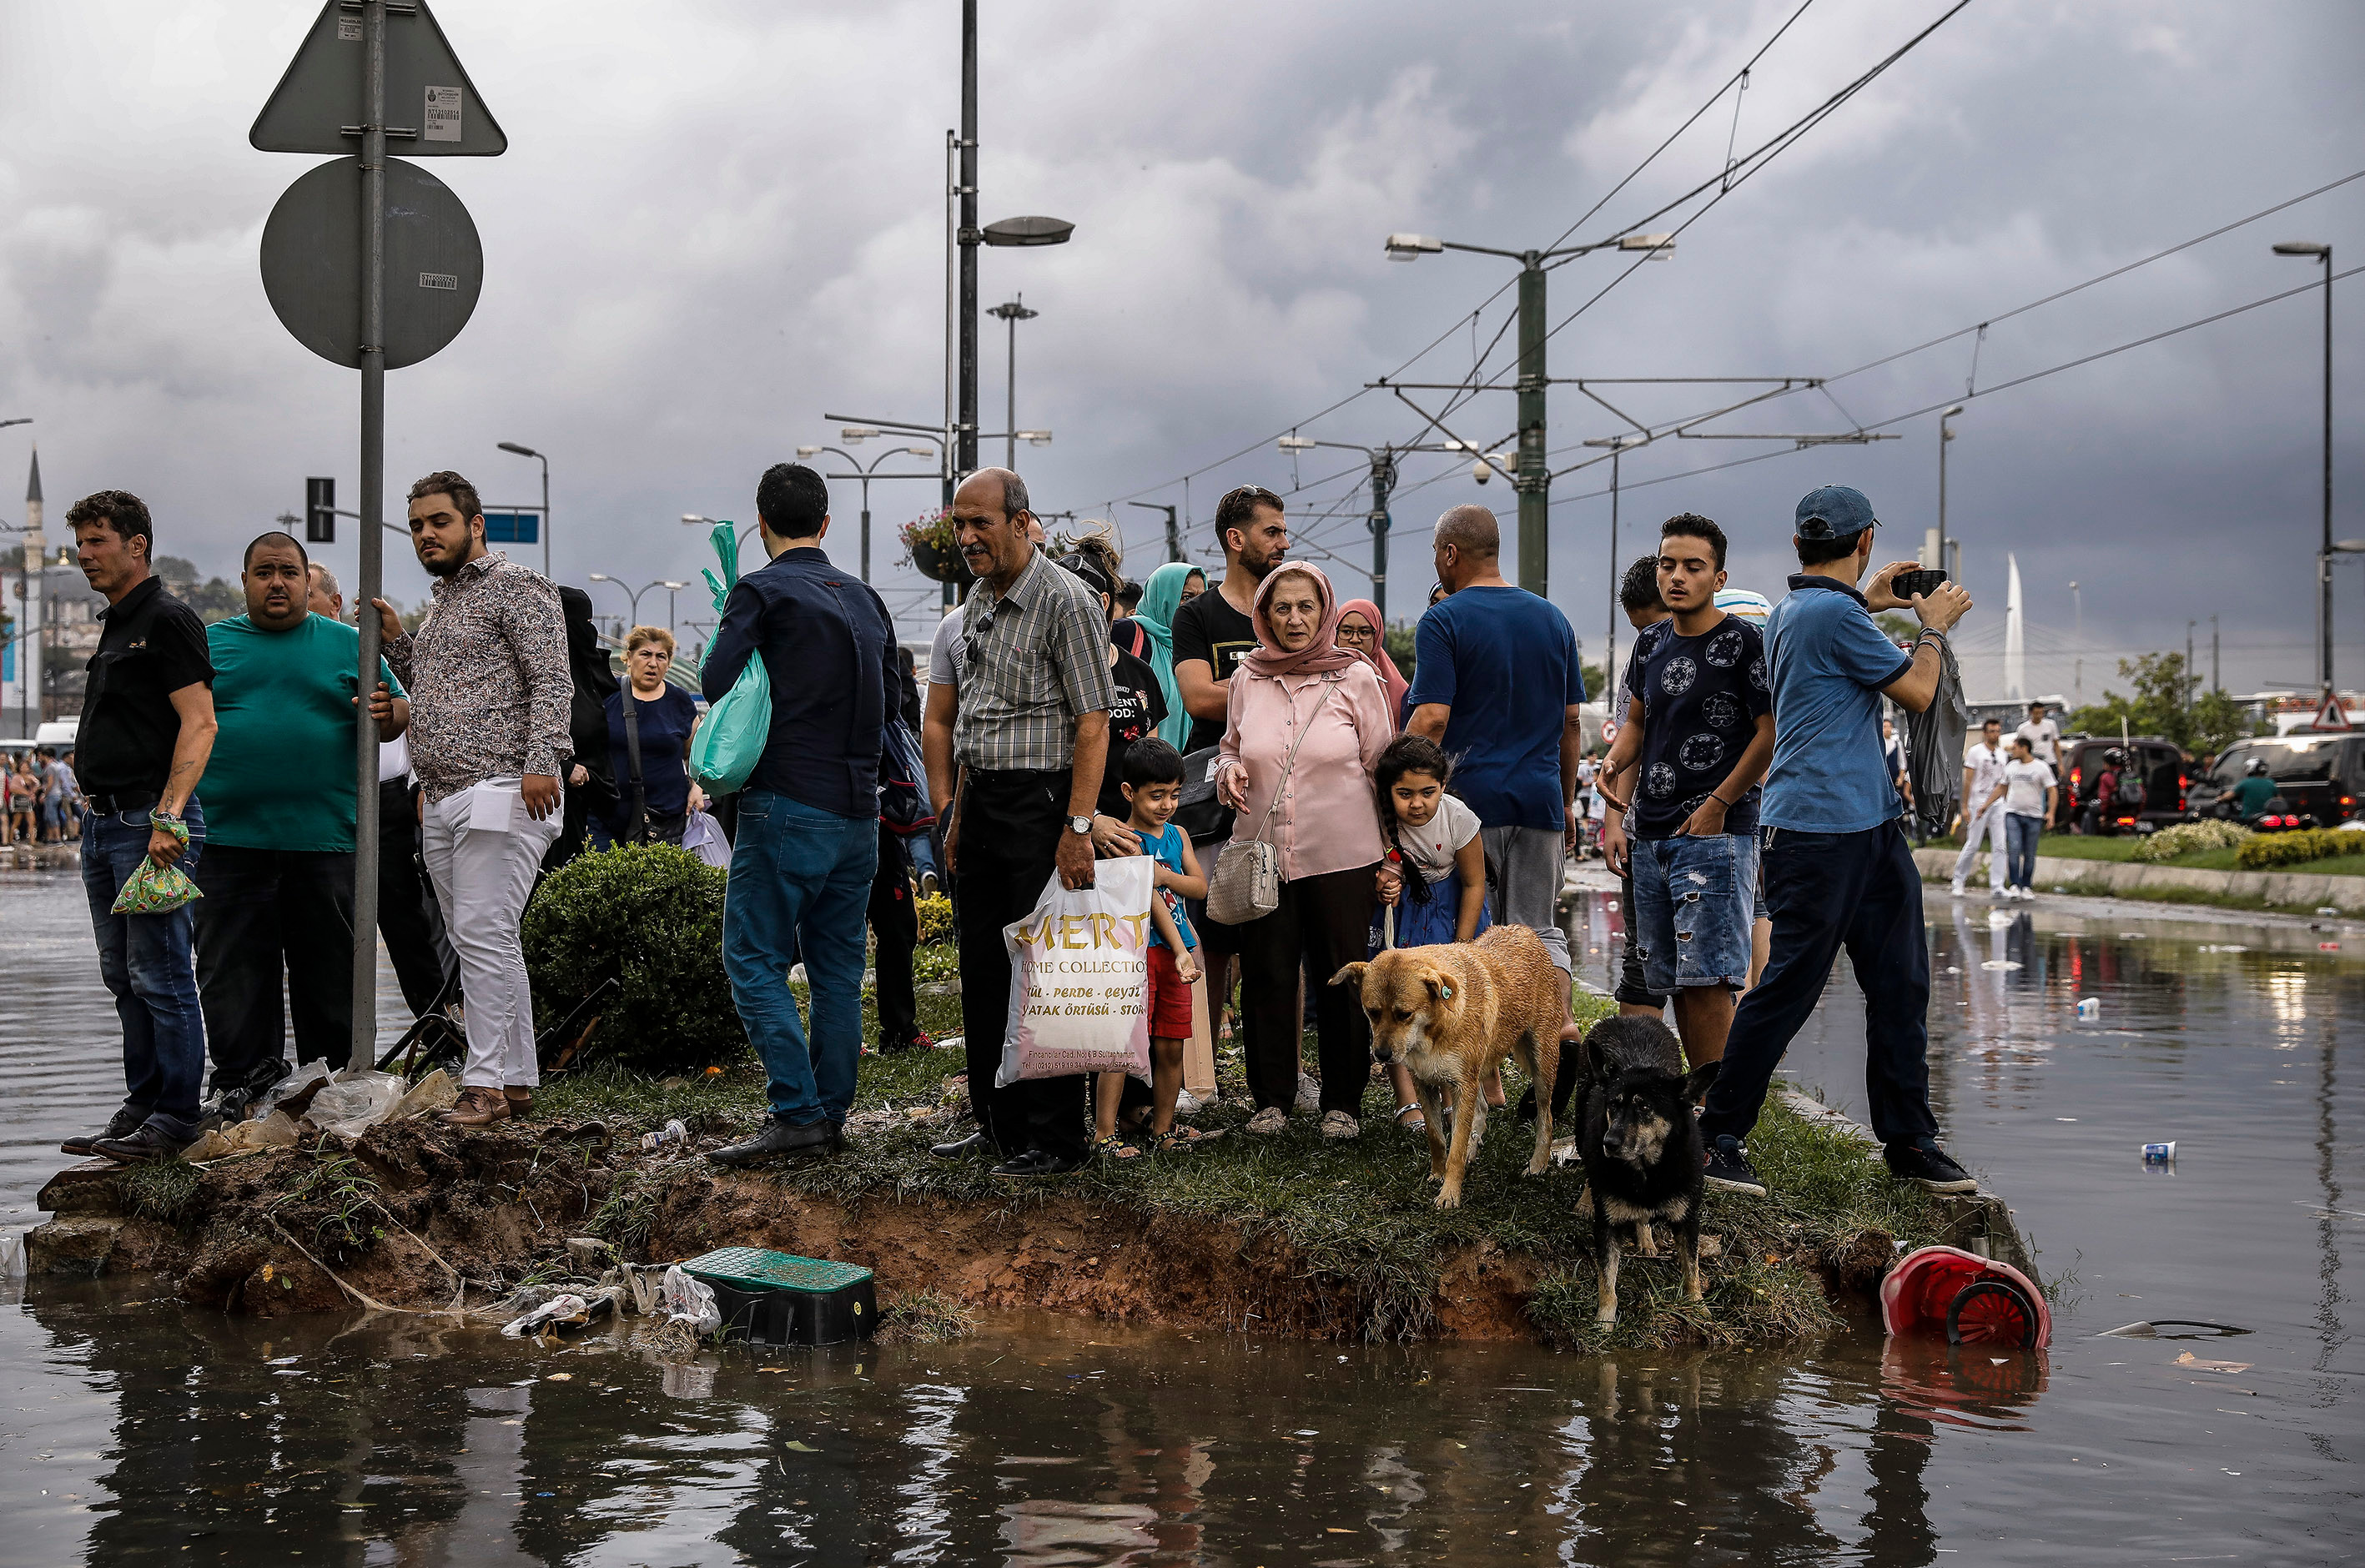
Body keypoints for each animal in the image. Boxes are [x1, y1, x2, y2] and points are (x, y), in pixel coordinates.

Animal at [1343, 927, 1561, 1206]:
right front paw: (1438, 1173)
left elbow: (1455, 1147)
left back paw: (1537, 1164)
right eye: (1372, 1012)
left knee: (1546, 1117)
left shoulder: (1462, 1086)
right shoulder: (1424, 1084)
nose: (1380, 1055)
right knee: (1482, 1109)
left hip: (1541, 1066)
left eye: (1404, 1015)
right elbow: (1437, 1137)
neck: (1432, 1031)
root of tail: (1525, 930)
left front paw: (1449, 1194)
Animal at [1589, 1017, 1721, 1324]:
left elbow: (1692, 1267)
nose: (1609, 1143)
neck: (1646, 1169)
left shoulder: (1688, 1219)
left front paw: (1698, 1306)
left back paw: (1646, 1237)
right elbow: (1606, 1277)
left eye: (1645, 1107)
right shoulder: (1606, 1224)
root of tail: (1628, 1018)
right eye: (1613, 1104)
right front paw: (1604, 1319)